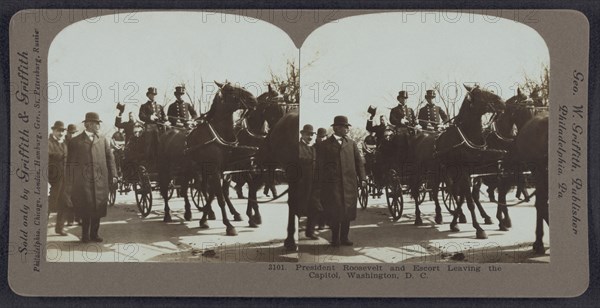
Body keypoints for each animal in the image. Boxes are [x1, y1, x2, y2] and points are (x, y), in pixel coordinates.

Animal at [156, 80, 256, 235]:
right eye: (231, 89)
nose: (253, 99)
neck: (217, 133)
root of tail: (167, 133)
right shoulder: (213, 169)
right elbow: (219, 197)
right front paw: (229, 225)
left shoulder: (220, 170)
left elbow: (213, 194)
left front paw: (205, 219)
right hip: (165, 168)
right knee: (166, 189)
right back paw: (167, 215)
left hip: (187, 169)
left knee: (184, 188)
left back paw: (188, 213)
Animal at [410, 84, 504, 238]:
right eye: (480, 93)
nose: (501, 101)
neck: (465, 136)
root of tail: (419, 135)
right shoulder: (463, 173)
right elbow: (468, 200)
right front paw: (478, 228)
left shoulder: (470, 173)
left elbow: (463, 197)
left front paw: (456, 221)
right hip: (419, 172)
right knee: (417, 192)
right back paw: (418, 218)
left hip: (436, 172)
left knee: (435, 191)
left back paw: (439, 216)